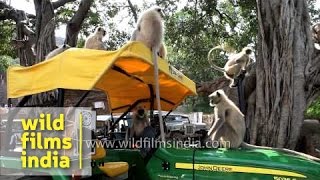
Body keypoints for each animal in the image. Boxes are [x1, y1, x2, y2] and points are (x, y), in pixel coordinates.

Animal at [131, 5, 166, 141]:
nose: (163, 16)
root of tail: (153, 44)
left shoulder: (144, 14)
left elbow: (138, 26)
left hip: (141, 40)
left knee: (136, 31)